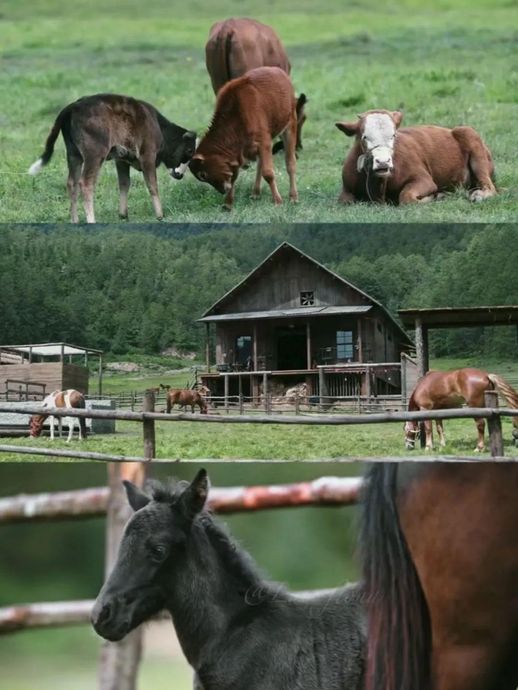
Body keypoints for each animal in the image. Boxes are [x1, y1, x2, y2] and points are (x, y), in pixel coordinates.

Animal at [29, 92, 198, 222]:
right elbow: (152, 185)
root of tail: (73, 106)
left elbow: (124, 183)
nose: (180, 175)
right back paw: (91, 220)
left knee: (72, 183)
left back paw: (75, 221)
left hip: (73, 155)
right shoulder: (147, 155)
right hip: (95, 155)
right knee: (86, 183)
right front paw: (160, 215)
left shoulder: (121, 160)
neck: (158, 126)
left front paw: (123, 214)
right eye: (190, 150)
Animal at [189, 66, 298, 208]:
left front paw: (278, 200)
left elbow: (268, 173)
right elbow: (235, 176)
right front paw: (228, 204)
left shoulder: (264, 142)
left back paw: (293, 196)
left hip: (290, 126)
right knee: (260, 165)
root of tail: (278, 71)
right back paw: (256, 193)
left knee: (290, 163)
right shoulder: (239, 152)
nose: (222, 190)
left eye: (203, 174)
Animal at [338, 109, 500, 203]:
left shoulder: (424, 179)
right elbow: (345, 202)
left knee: (491, 187)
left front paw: (436, 196)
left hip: (470, 136)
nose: (383, 162)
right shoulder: (346, 190)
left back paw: (479, 195)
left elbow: (406, 198)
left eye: (394, 135)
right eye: (364, 137)